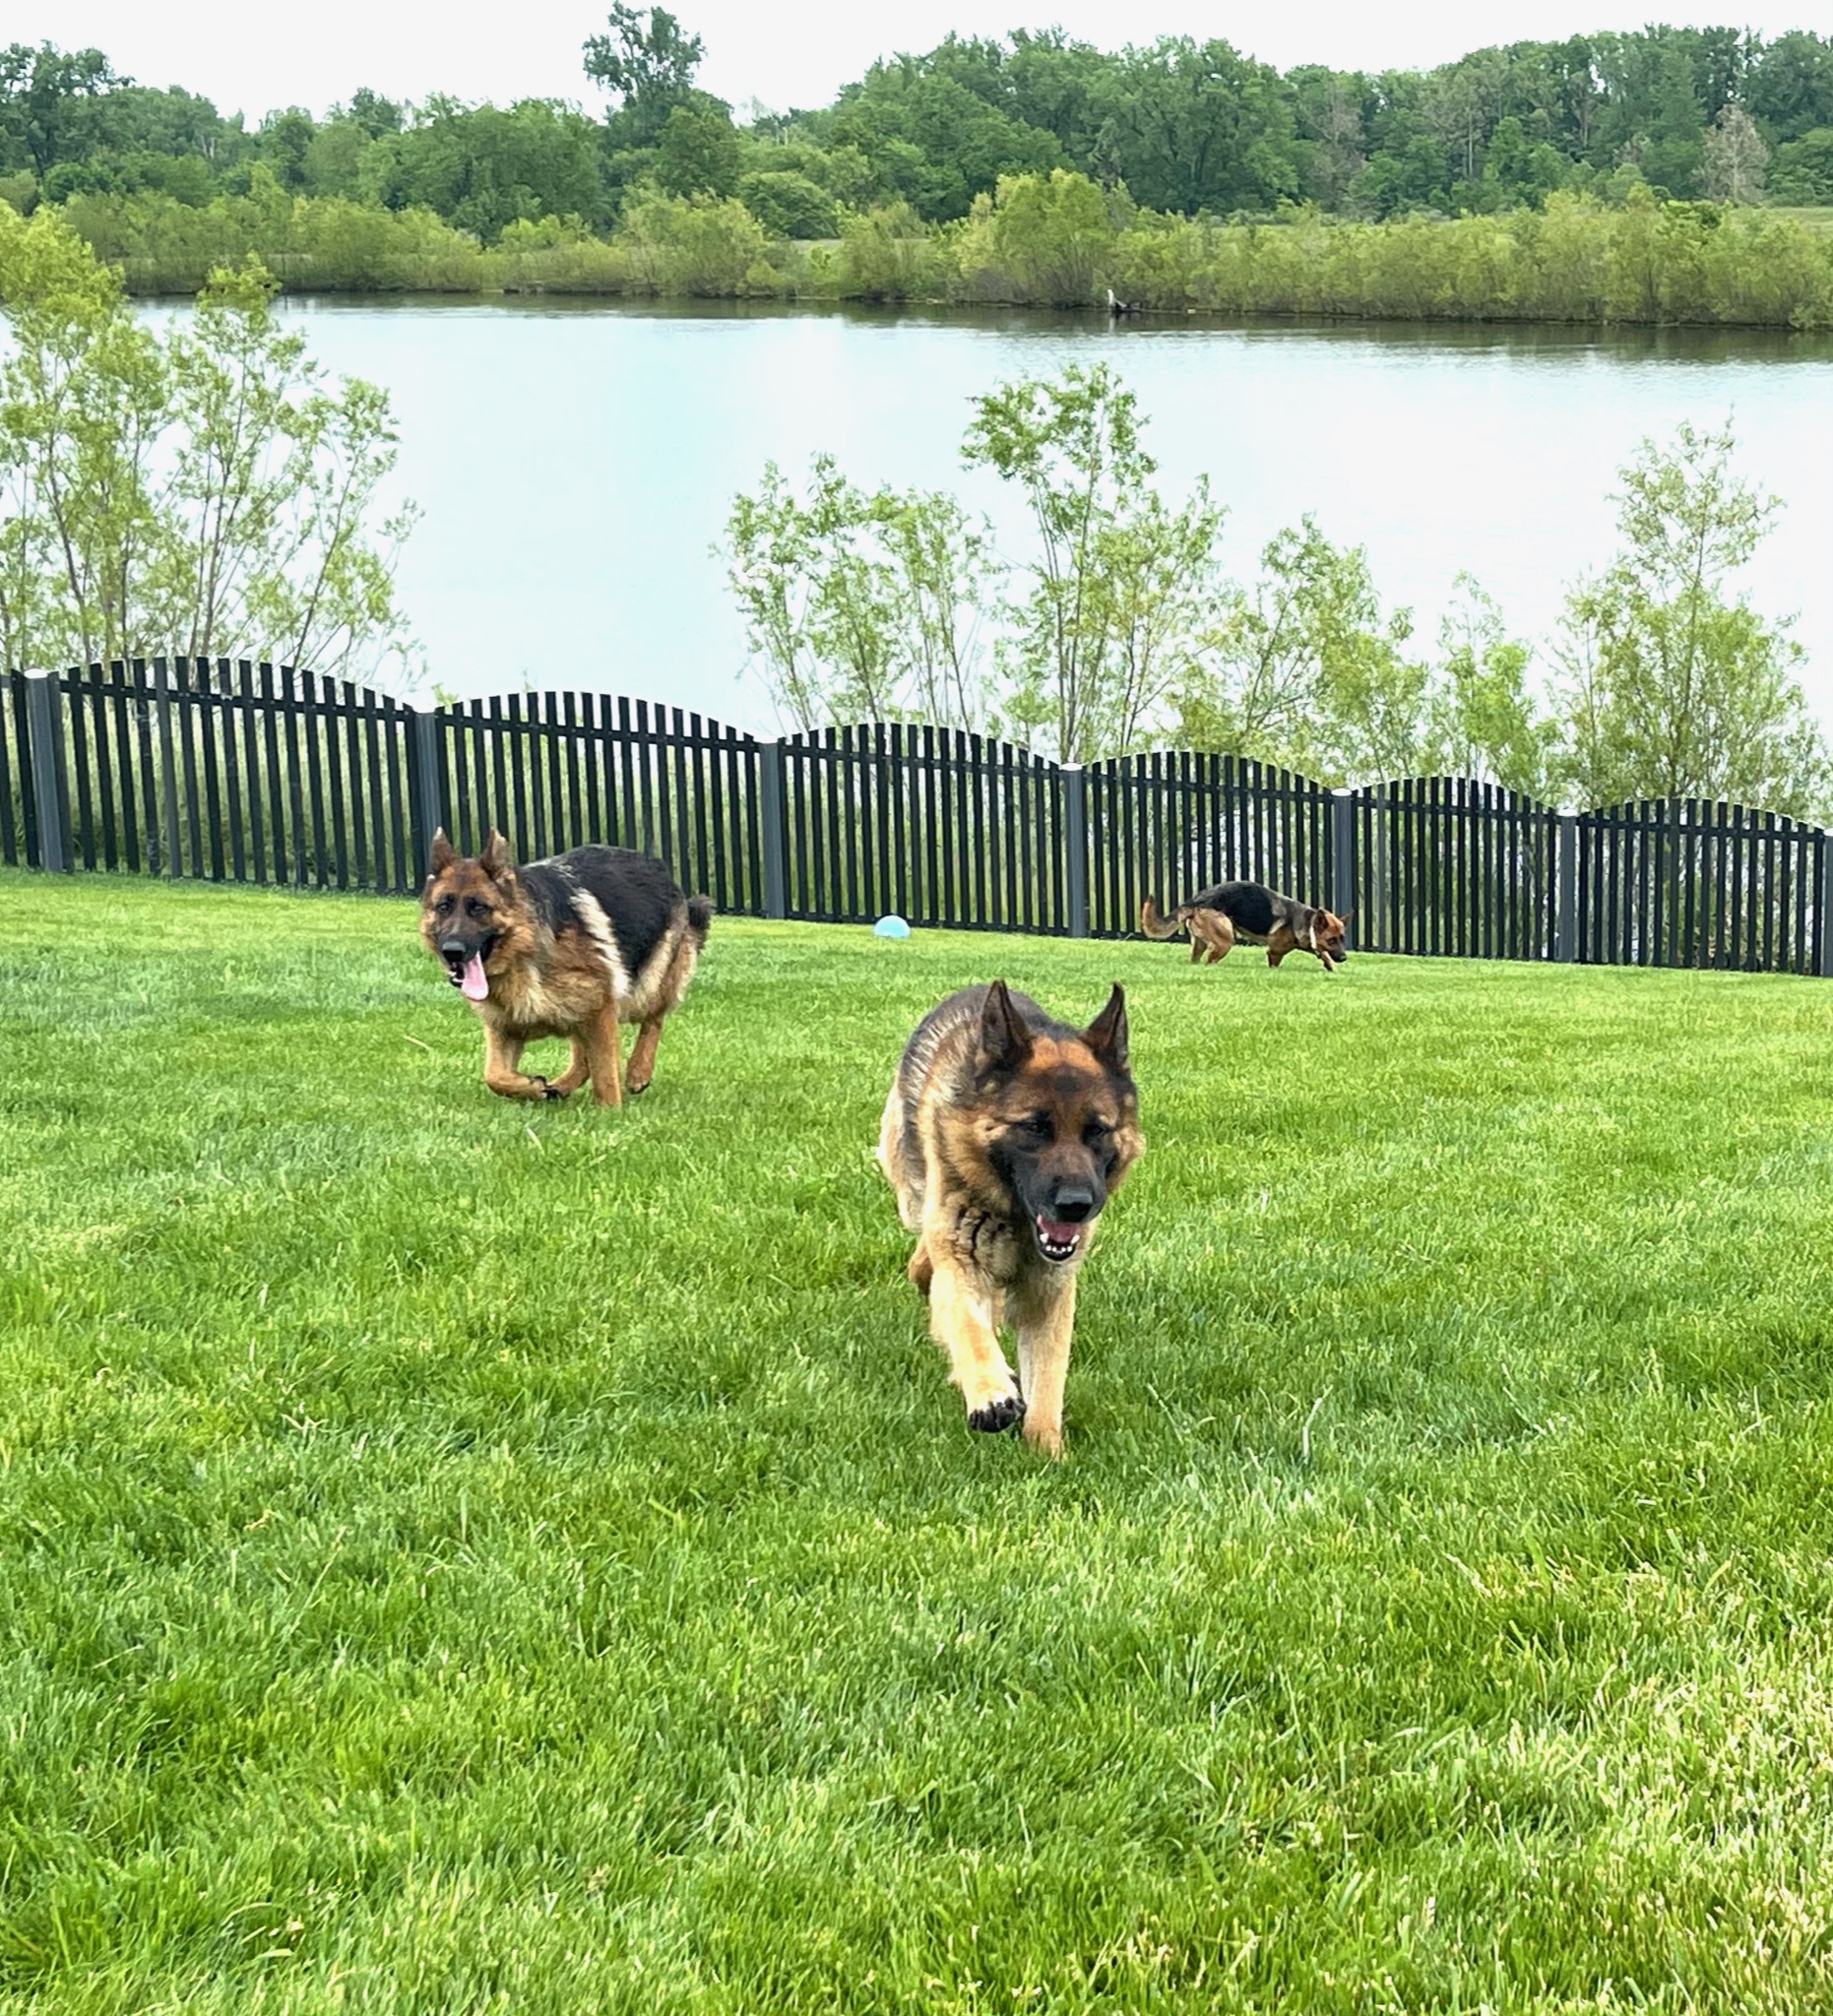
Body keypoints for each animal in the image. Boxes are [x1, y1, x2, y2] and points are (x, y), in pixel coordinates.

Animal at [419, 826, 710, 1112]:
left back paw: (639, 1070)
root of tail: (656, 865)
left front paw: (610, 1113)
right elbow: (494, 1076)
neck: (522, 954)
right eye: (443, 907)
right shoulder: (504, 1026)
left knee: (654, 1018)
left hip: (647, 985)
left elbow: (605, 1073)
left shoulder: (601, 1008)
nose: (452, 950)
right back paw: (560, 1086)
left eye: (478, 907)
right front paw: (532, 1087)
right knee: (582, 1058)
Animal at [875, 983, 1145, 1459]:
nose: (1076, 1205)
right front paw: (990, 1392)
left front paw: (1046, 1448)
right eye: (1034, 1127)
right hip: (911, 1193)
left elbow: (1049, 1380)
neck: (1016, 1221)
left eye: (1097, 1131)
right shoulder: (961, 1265)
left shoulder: (1049, 1293)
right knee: (927, 1260)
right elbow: (969, 1329)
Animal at [1145, 883, 1347, 976]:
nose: (1345, 958)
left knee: (1196, 959)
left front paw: (1330, 965)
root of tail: (1195, 901)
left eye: (1341, 938)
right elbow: (1274, 964)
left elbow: (1323, 954)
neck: (1307, 922)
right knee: (1210, 959)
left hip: (1199, 944)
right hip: (1225, 941)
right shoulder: (1274, 952)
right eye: (1331, 940)